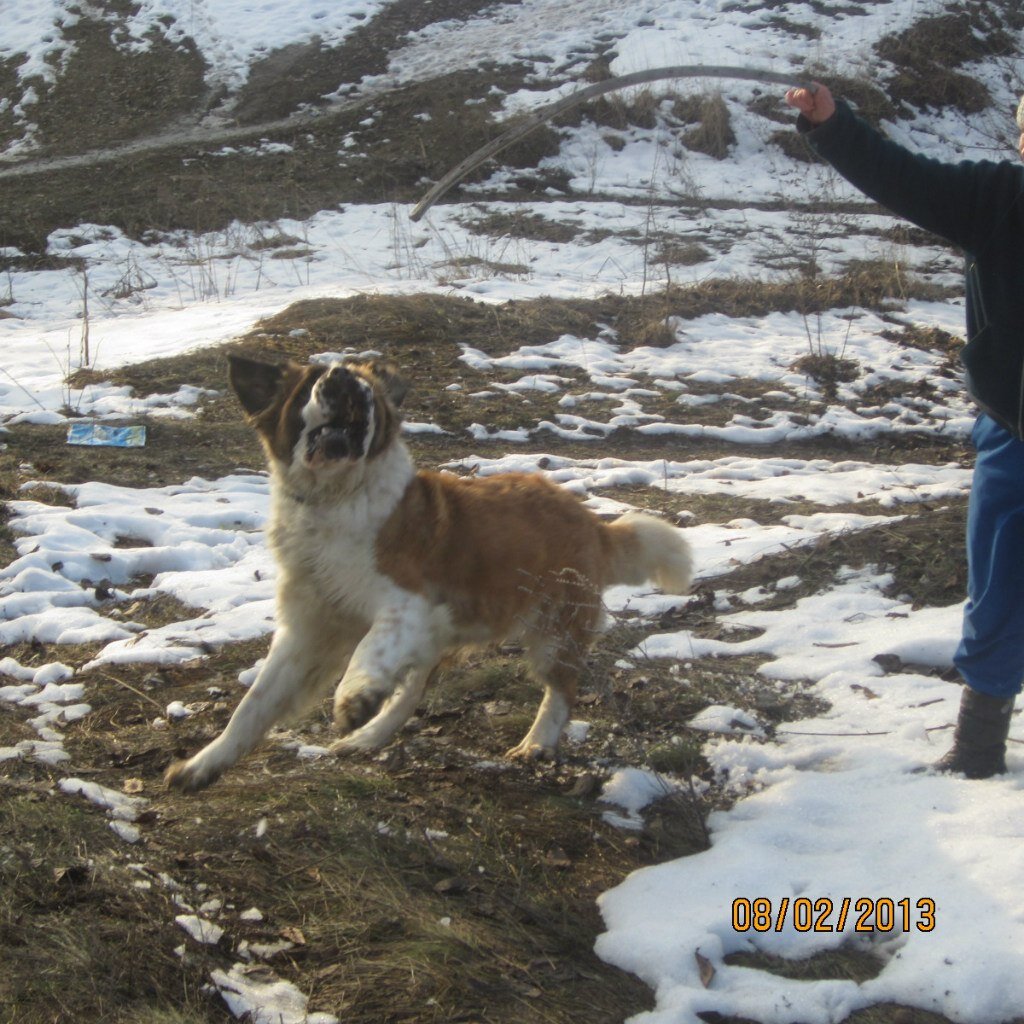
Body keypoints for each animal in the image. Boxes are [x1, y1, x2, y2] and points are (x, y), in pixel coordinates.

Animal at [165, 354, 696, 790]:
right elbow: (253, 705)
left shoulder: (406, 602)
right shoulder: (307, 630)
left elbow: (369, 649)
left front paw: (355, 694)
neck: (333, 497)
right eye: (313, 380)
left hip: (552, 631)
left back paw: (538, 742)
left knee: (561, 688)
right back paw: (370, 736)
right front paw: (204, 764)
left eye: (365, 387)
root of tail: (588, 517)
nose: (344, 380)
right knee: (413, 687)